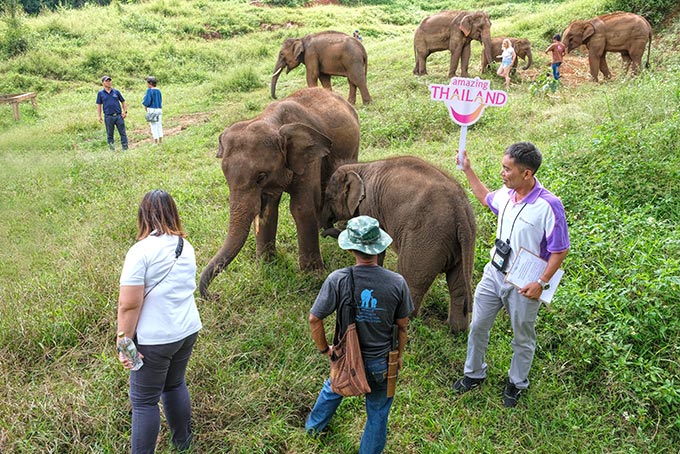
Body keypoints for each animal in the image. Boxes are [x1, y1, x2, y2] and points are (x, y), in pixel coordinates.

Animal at [199, 88, 362, 298]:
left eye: (260, 176)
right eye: (225, 176)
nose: (214, 295)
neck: (271, 121)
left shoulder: (308, 157)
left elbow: (301, 207)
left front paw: (313, 275)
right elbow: (268, 209)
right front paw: (266, 265)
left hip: (353, 145)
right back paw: (322, 229)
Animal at [322, 157, 476, 334]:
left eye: (328, 197)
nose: (323, 232)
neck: (360, 167)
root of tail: (460, 212)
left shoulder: (369, 206)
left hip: (426, 238)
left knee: (412, 279)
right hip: (464, 242)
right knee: (459, 286)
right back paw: (455, 331)